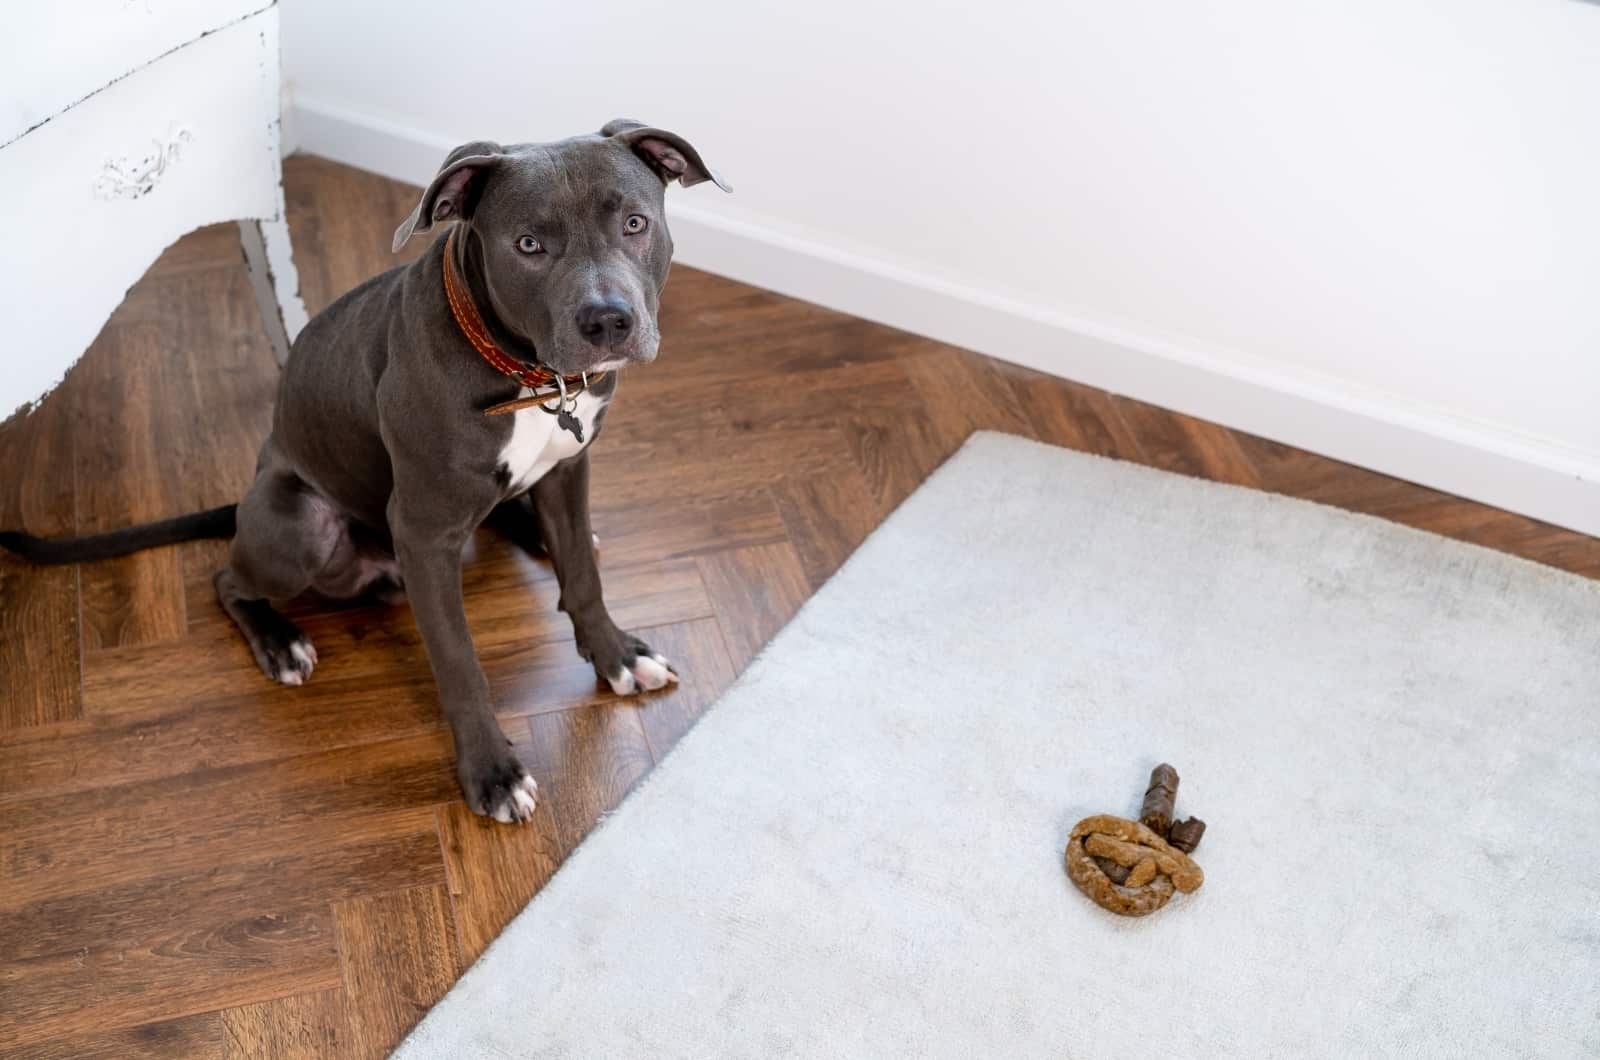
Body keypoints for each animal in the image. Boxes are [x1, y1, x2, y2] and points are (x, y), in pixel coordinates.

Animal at [1, 120, 732, 826]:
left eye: (634, 223)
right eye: (528, 245)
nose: (608, 320)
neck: (526, 376)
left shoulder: (569, 472)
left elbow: (582, 575)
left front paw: (617, 656)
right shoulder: (423, 534)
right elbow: (458, 661)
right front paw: (491, 772)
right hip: (301, 527)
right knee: (227, 579)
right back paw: (279, 641)